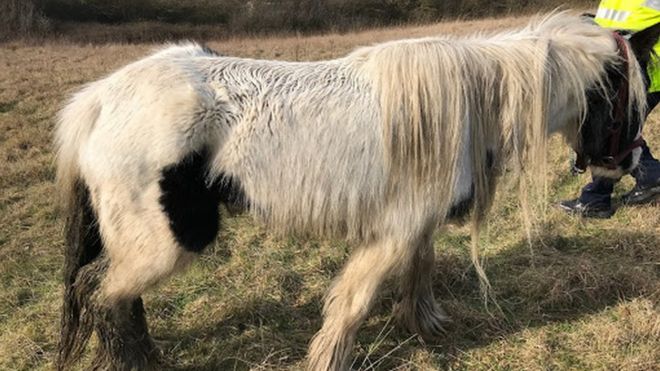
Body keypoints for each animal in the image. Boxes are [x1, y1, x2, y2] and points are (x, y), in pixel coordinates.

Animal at [54, 13, 660, 370]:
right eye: (629, 96)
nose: (626, 166)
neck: (470, 106)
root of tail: (100, 99)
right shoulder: (392, 231)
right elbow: (354, 301)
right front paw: (330, 358)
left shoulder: (415, 225)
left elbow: (421, 268)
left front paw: (426, 326)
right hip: (167, 240)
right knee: (103, 294)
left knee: (113, 297)